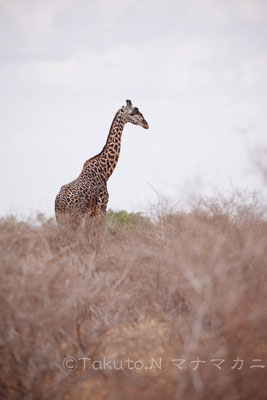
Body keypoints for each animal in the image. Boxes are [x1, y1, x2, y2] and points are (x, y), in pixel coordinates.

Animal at [55, 100, 150, 231]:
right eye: (132, 113)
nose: (146, 124)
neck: (104, 171)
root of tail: (60, 203)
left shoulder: (91, 213)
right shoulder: (102, 208)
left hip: (61, 220)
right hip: (75, 218)